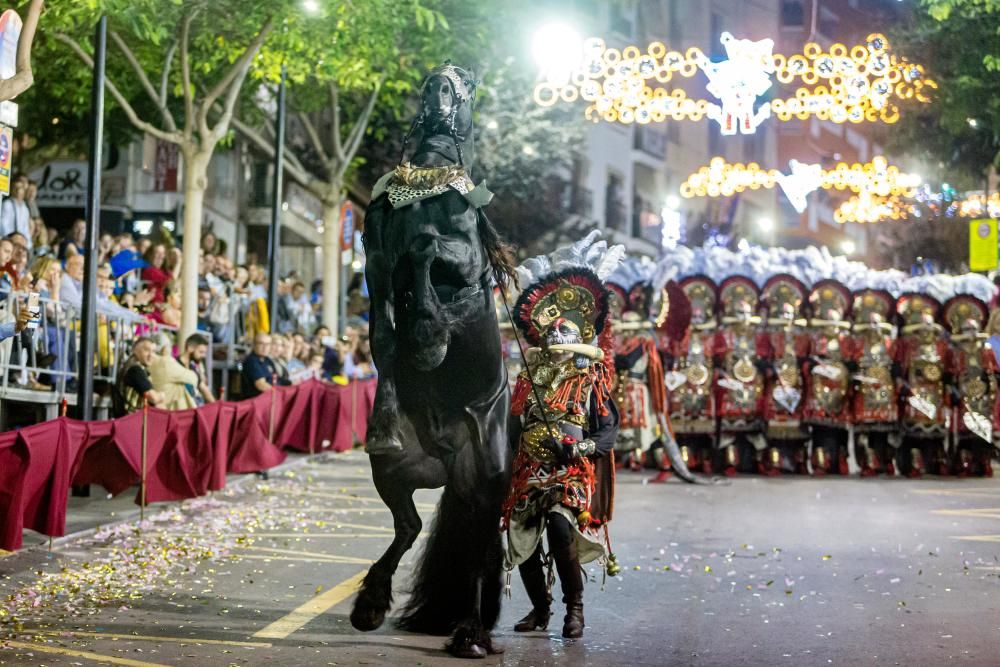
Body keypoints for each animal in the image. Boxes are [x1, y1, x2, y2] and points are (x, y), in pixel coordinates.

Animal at [350, 65, 516, 660]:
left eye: (466, 81)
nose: (440, 84)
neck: (425, 181)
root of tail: (447, 455)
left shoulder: (461, 257)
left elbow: (425, 250)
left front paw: (429, 337)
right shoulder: (375, 256)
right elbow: (382, 337)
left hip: (487, 481)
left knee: (478, 550)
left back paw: (471, 633)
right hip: (395, 473)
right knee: (409, 525)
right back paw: (370, 604)